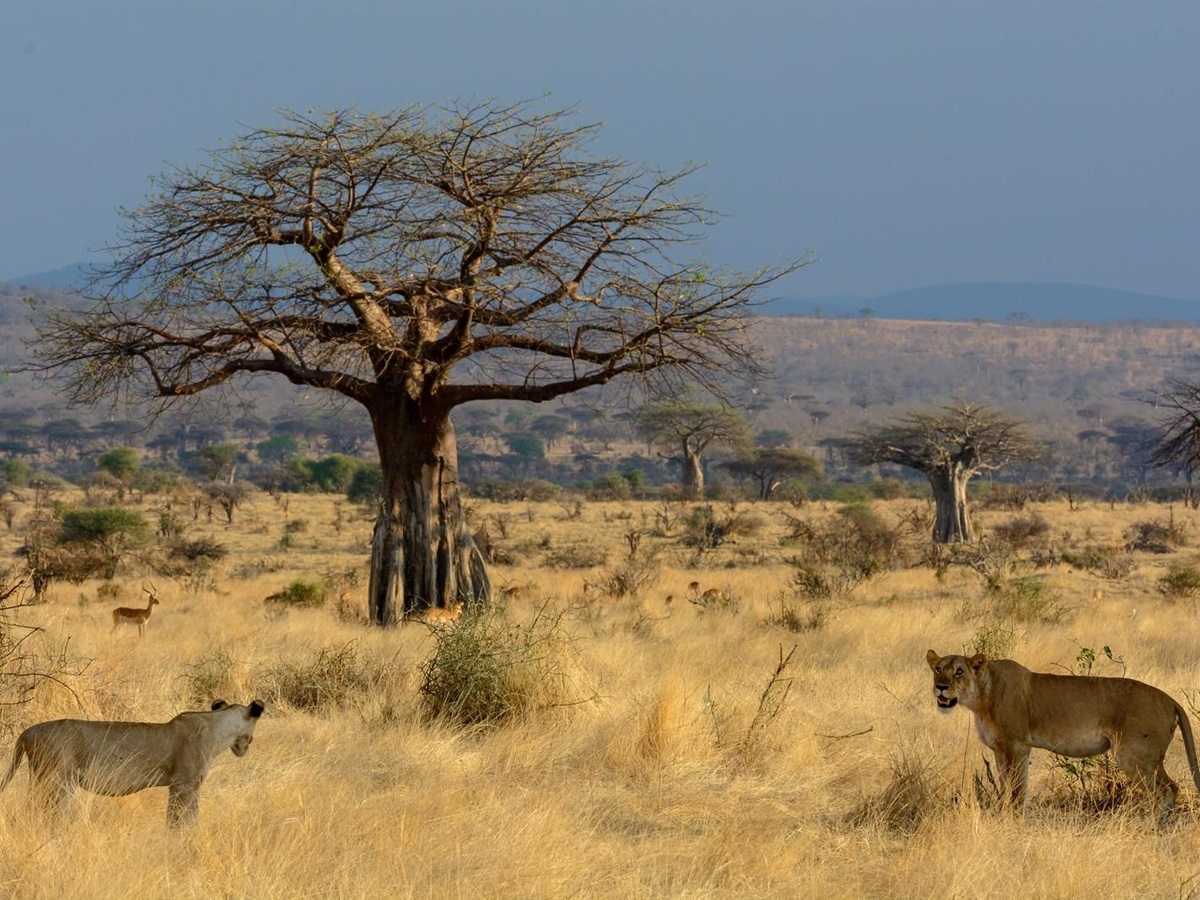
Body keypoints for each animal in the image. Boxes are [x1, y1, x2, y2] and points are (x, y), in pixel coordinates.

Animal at [0, 698, 265, 827]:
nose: (246, 747)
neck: (219, 727)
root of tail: (28, 731)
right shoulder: (184, 785)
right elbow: (182, 819)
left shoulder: (180, 786)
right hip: (57, 781)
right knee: (43, 811)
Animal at [927, 650, 1200, 820]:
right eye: (938, 669)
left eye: (959, 671)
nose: (940, 687)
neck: (981, 697)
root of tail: (1170, 699)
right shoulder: (1000, 751)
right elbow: (1006, 787)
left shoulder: (1017, 746)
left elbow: (1017, 789)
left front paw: (1013, 821)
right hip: (1150, 759)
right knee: (1172, 788)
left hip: (1133, 756)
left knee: (1162, 792)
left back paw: (1147, 828)